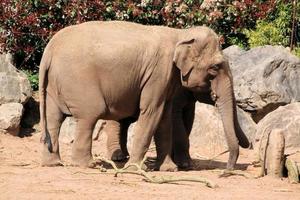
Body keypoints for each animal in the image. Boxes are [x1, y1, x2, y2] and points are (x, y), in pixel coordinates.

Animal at [39, 19, 241, 170]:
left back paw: (53, 163)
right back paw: (89, 164)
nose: (227, 171)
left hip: (54, 84)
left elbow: (164, 116)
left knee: (54, 118)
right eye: (215, 67)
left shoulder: (167, 80)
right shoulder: (158, 73)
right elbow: (152, 112)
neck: (180, 34)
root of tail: (49, 50)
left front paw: (168, 169)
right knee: (89, 115)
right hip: (79, 80)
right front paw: (135, 168)